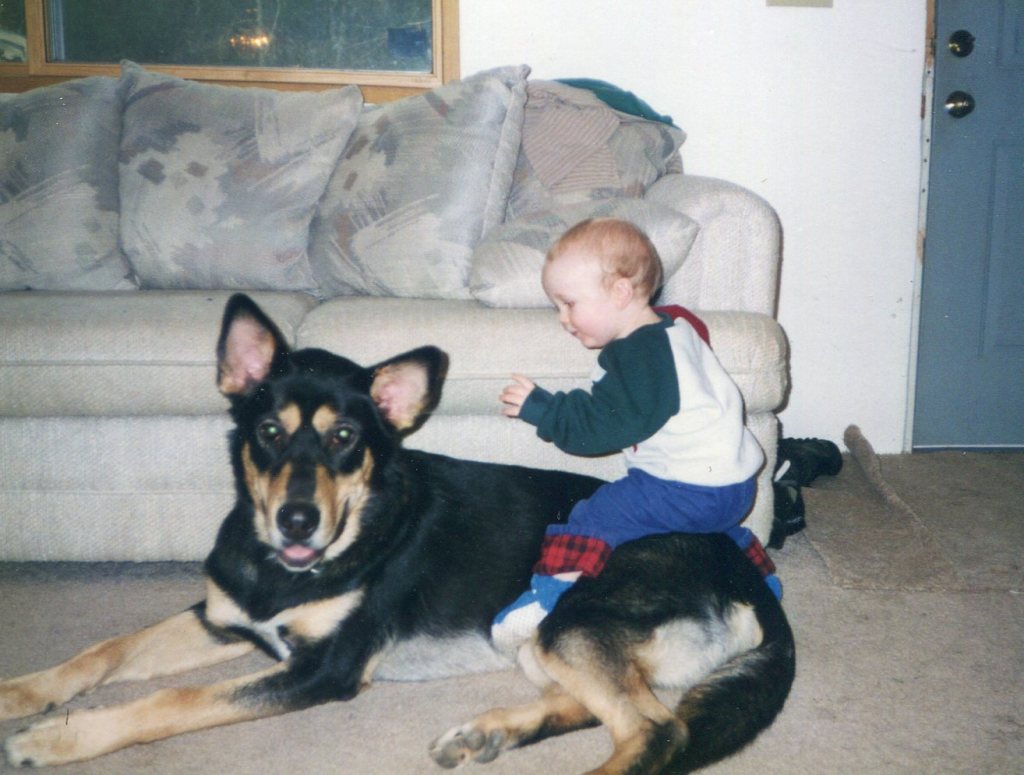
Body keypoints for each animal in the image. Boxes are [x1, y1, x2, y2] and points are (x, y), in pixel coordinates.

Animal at [0, 294, 794, 773]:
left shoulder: (320, 669)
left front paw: (63, 736)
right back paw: (488, 732)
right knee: (608, 709)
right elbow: (105, 650)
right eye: (269, 431)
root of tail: (752, 576)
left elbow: (174, 701)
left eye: (345, 438)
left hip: (574, 616)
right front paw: (22, 692)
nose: (297, 520)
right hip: (541, 639)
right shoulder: (225, 616)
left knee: (658, 731)